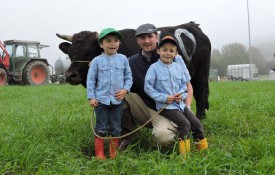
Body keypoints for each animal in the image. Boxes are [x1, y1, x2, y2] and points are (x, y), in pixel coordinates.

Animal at [56, 21, 211, 118]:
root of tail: (193, 25)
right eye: (70, 54)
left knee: (200, 94)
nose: (69, 75)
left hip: (202, 73)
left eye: (89, 54)